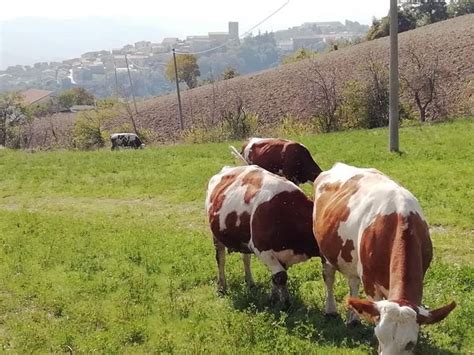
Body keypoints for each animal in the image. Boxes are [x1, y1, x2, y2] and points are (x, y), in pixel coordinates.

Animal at [206, 165, 320, 304]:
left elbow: (276, 277)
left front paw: (273, 298)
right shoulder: (261, 248)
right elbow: (281, 276)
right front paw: (285, 303)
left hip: (243, 240)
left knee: (246, 259)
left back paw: (250, 283)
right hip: (216, 236)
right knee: (220, 259)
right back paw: (222, 287)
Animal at [312, 164, 454, 355]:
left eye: (410, 344)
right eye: (379, 337)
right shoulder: (370, 282)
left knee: (353, 282)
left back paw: (353, 318)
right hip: (324, 251)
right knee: (329, 278)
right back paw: (330, 311)